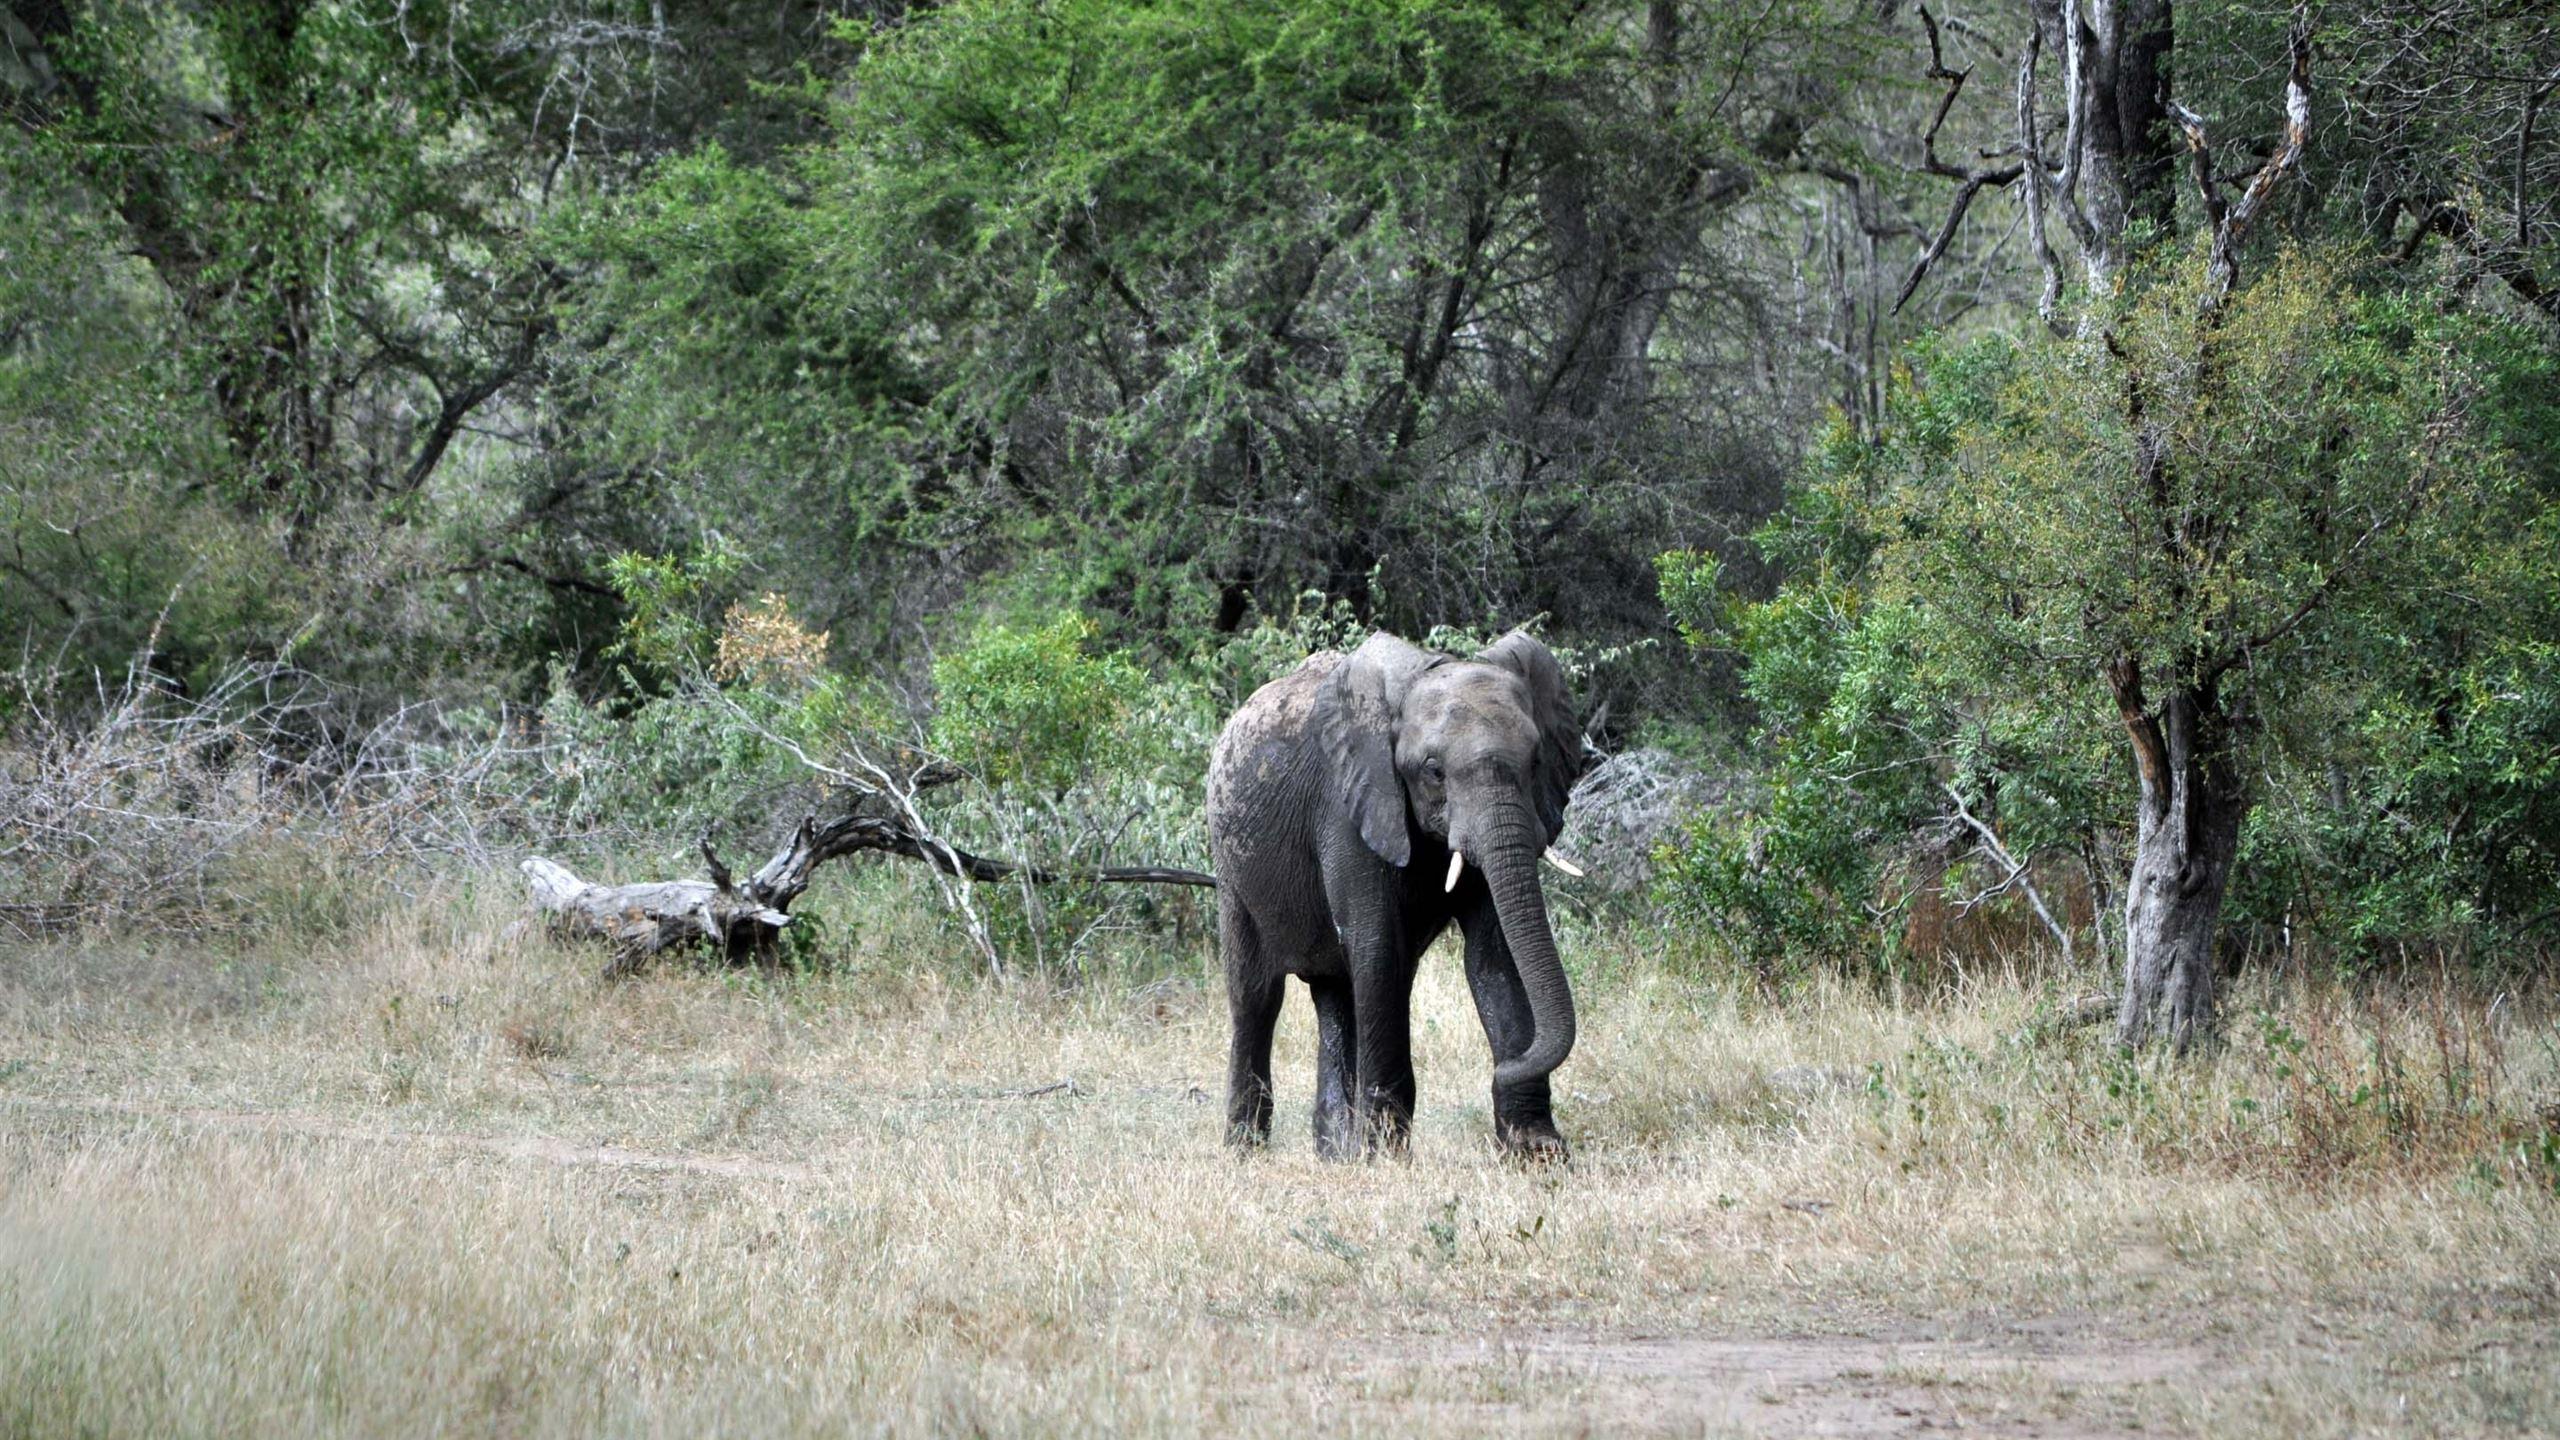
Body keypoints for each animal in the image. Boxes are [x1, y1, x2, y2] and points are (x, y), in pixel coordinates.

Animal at [1205, 628, 1586, 1160]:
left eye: (1535, 761)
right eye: (1433, 771)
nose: (1500, 1070)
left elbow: (1495, 954)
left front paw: (1538, 1151)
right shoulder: (1347, 810)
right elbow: (1379, 949)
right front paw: (1384, 1156)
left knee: (1337, 993)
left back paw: (1335, 1155)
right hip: (1230, 863)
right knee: (1256, 995)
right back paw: (1246, 1150)